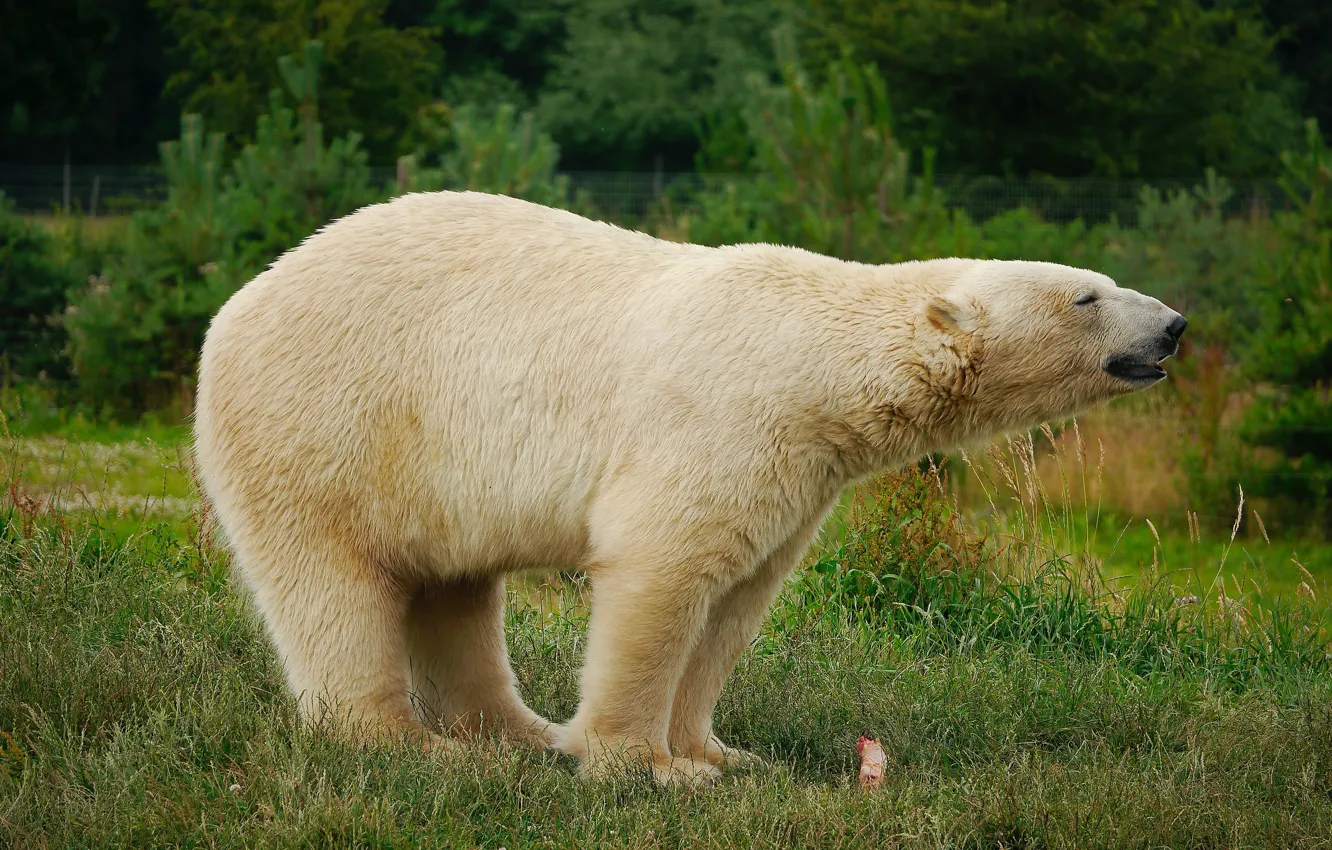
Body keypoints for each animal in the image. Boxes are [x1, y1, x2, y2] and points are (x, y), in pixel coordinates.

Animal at [194, 189, 1188, 788]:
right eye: (1087, 297)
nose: (1174, 325)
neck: (814, 358)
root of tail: (239, 303)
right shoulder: (724, 420)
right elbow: (664, 573)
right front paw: (649, 767)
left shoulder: (800, 470)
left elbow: (738, 598)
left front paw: (725, 753)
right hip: (327, 424)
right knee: (334, 587)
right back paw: (413, 746)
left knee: (454, 589)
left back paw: (518, 734)